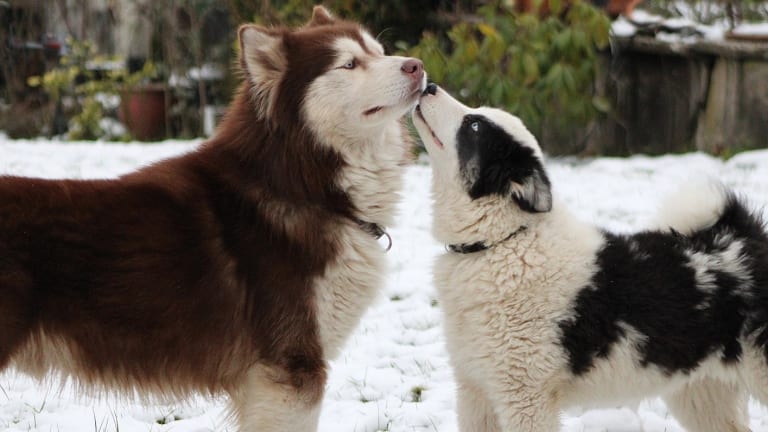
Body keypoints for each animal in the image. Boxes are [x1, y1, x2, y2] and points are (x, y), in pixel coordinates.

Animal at [414, 85, 768, 432]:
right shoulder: (476, 391)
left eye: (474, 126)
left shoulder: (525, 397)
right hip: (702, 393)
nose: (428, 86)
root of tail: (745, 234)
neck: (503, 241)